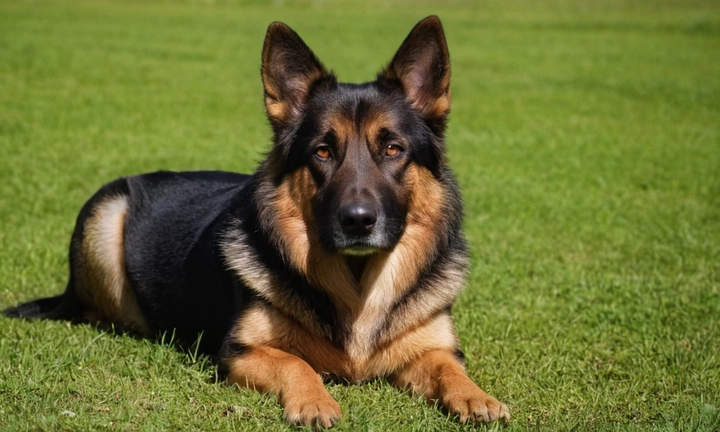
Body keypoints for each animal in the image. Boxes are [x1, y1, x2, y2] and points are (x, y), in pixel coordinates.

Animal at [5, 15, 512, 426]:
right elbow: (295, 362)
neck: (356, 283)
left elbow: (449, 367)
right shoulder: (240, 352)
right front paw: (315, 401)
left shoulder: (433, 348)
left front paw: (476, 396)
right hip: (105, 216)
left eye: (393, 149)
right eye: (322, 152)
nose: (358, 221)